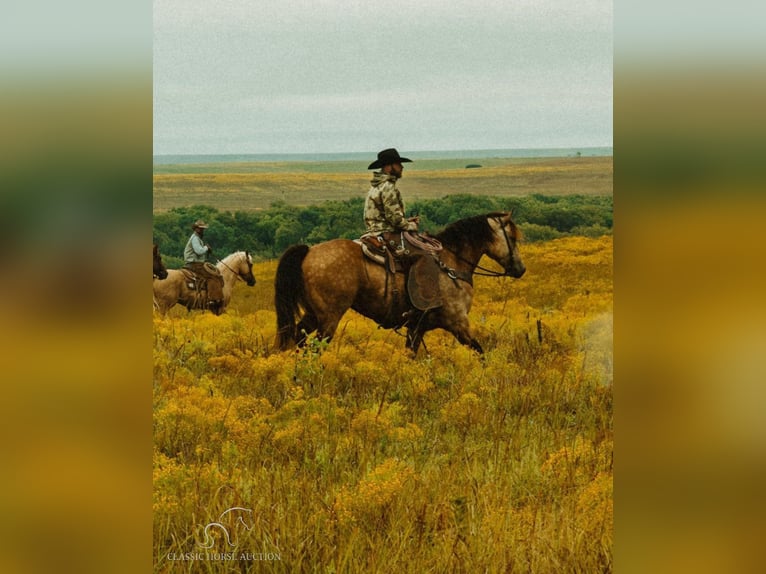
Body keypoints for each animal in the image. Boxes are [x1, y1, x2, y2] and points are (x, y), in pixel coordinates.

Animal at [276, 213, 528, 356]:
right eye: (511, 237)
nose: (520, 269)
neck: (452, 263)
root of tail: (309, 251)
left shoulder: (416, 329)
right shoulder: (458, 324)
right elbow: (480, 352)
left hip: (313, 315)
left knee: (298, 339)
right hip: (329, 319)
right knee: (313, 349)